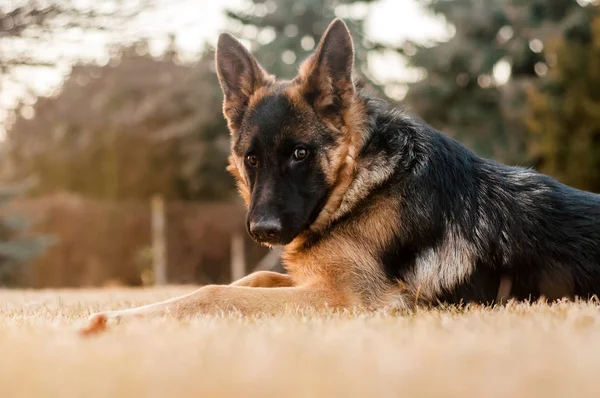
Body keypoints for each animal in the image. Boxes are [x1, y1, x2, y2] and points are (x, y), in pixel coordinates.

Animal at [82, 19, 600, 336]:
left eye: (300, 153)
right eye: (251, 159)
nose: (262, 230)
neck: (362, 182)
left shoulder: (345, 299)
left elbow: (212, 294)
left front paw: (113, 317)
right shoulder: (310, 282)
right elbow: (249, 279)